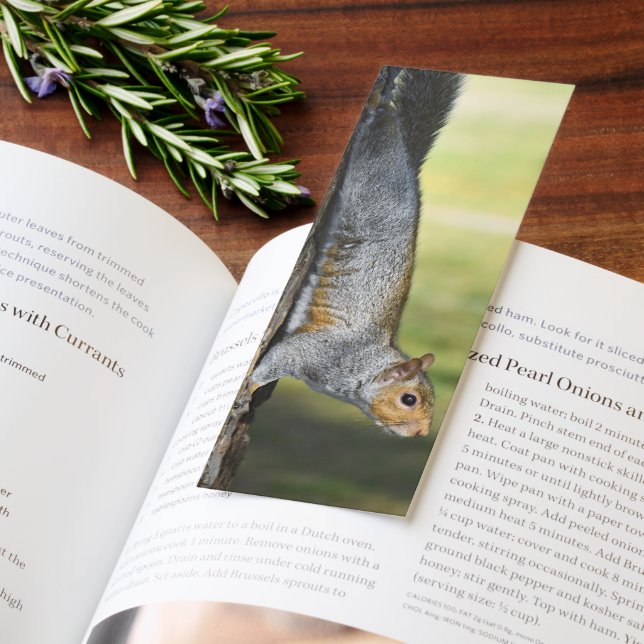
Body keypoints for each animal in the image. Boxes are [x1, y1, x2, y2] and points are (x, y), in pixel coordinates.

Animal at [250, 67, 462, 438]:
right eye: (409, 399)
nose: (422, 434)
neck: (366, 366)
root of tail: (408, 162)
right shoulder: (316, 353)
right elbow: (275, 361)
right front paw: (249, 387)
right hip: (371, 172)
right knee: (378, 125)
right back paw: (379, 103)